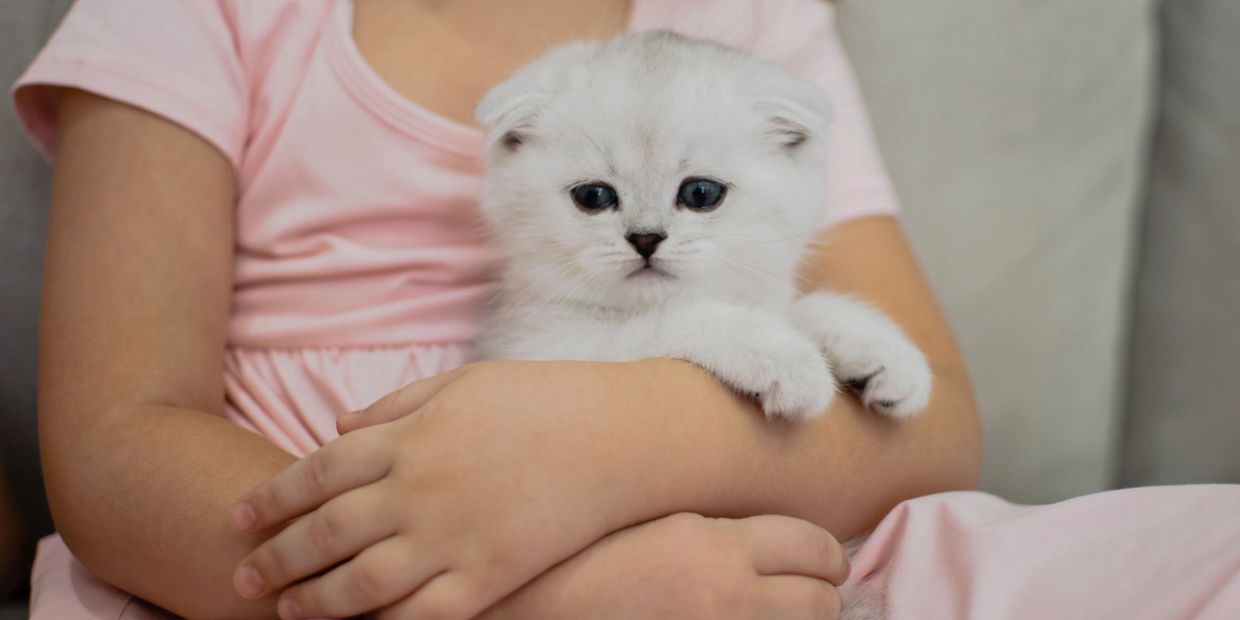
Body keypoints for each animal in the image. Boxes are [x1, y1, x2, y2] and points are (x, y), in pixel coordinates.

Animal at [473, 31, 932, 424]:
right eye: (593, 196)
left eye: (700, 193)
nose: (645, 239)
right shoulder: (537, 349)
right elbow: (678, 318)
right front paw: (783, 356)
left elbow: (802, 307)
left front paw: (881, 352)